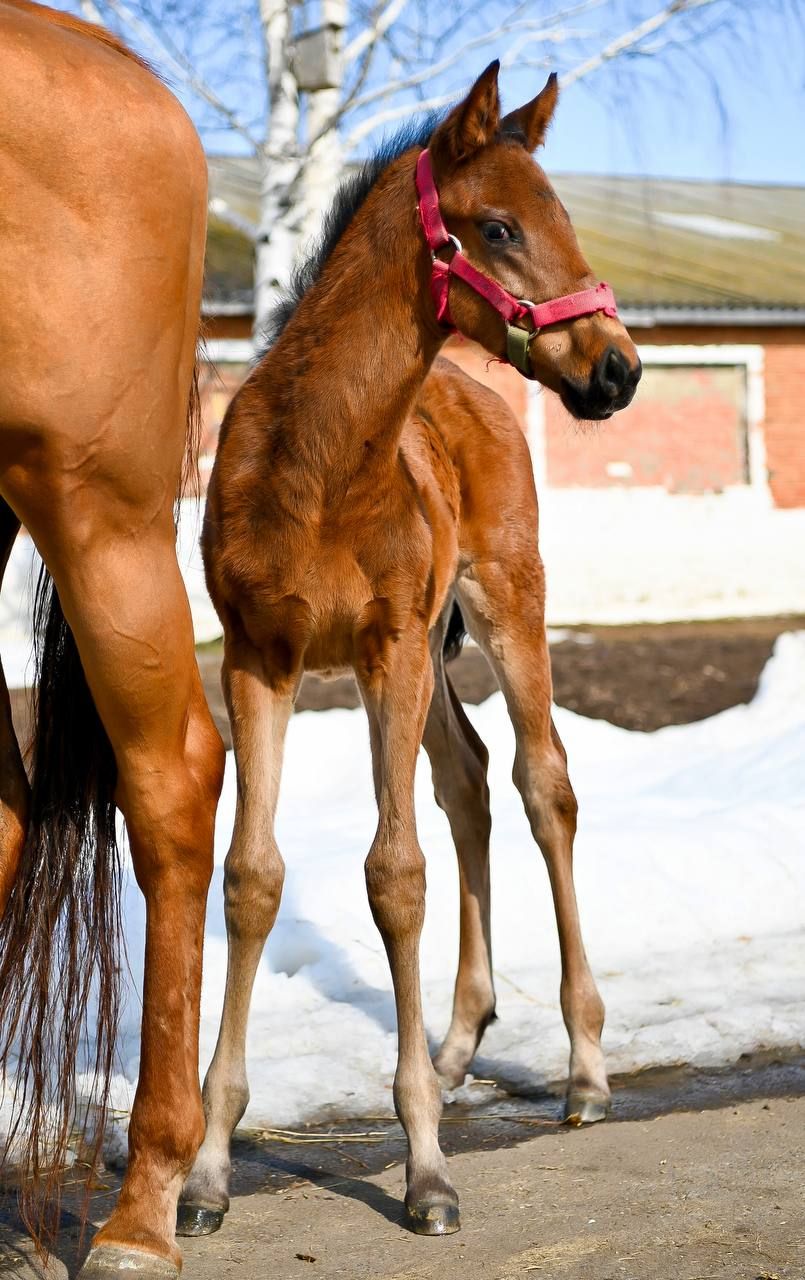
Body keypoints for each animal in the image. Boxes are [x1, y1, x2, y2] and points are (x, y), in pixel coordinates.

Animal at [180, 60, 639, 1239]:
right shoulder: (259, 657)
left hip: (504, 603)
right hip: (431, 654)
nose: (618, 370)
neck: (321, 465)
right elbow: (251, 876)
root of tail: (471, 385)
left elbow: (396, 875)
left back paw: (582, 1068)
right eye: (498, 226)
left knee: (542, 782)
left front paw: (427, 1170)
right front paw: (203, 1173)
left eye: (564, 217)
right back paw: (461, 1040)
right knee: (469, 778)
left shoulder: (383, 645)